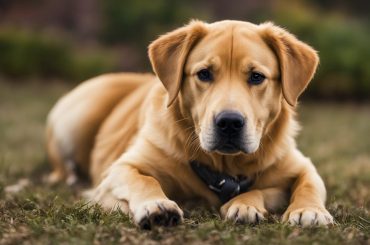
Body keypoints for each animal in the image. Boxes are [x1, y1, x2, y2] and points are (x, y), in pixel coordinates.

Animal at [45, 20, 332, 229]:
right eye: (204, 74)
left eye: (256, 77)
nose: (229, 122)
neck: (225, 167)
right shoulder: (119, 169)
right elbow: (144, 179)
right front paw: (156, 205)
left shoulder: (301, 164)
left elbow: (305, 183)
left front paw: (307, 210)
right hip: (74, 119)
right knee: (59, 165)